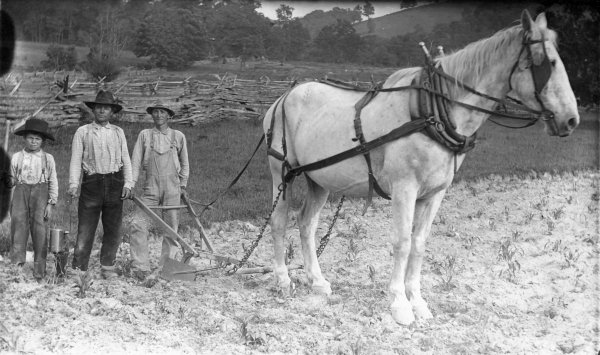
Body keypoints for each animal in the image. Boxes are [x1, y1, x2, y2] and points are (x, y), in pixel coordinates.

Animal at [262, 9, 576, 326]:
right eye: (547, 63)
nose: (571, 120)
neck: (433, 111)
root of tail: (284, 96)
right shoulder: (405, 188)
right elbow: (402, 242)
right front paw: (400, 304)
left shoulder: (434, 193)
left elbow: (419, 243)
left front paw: (418, 302)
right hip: (282, 173)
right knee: (278, 222)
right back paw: (283, 279)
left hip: (319, 180)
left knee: (306, 224)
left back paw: (317, 280)